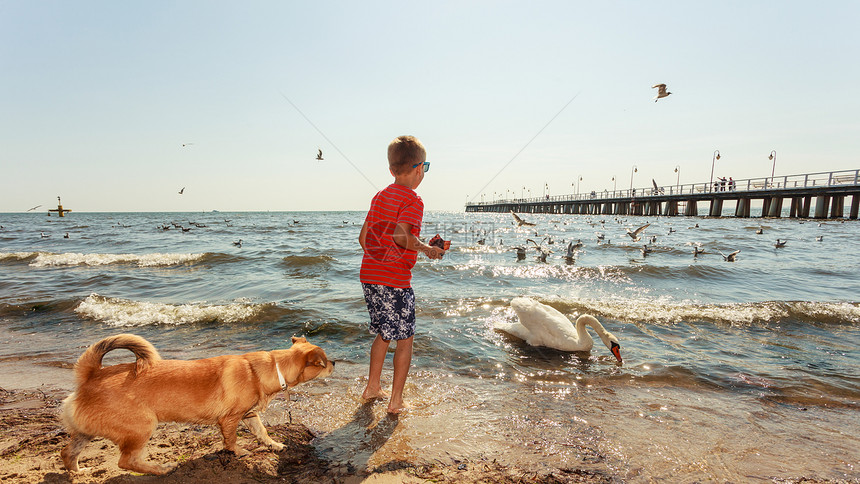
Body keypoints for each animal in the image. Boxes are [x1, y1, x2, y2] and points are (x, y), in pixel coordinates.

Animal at [59, 334, 332, 474]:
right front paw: (238, 452)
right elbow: (231, 440)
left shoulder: (250, 416)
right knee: (126, 462)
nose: (336, 363)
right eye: (325, 362)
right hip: (142, 427)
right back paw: (161, 469)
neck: (272, 368)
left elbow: (262, 432)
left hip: (87, 431)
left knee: (67, 451)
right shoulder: (230, 420)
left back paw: (77, 472)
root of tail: (92, 375)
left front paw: (274, 444)